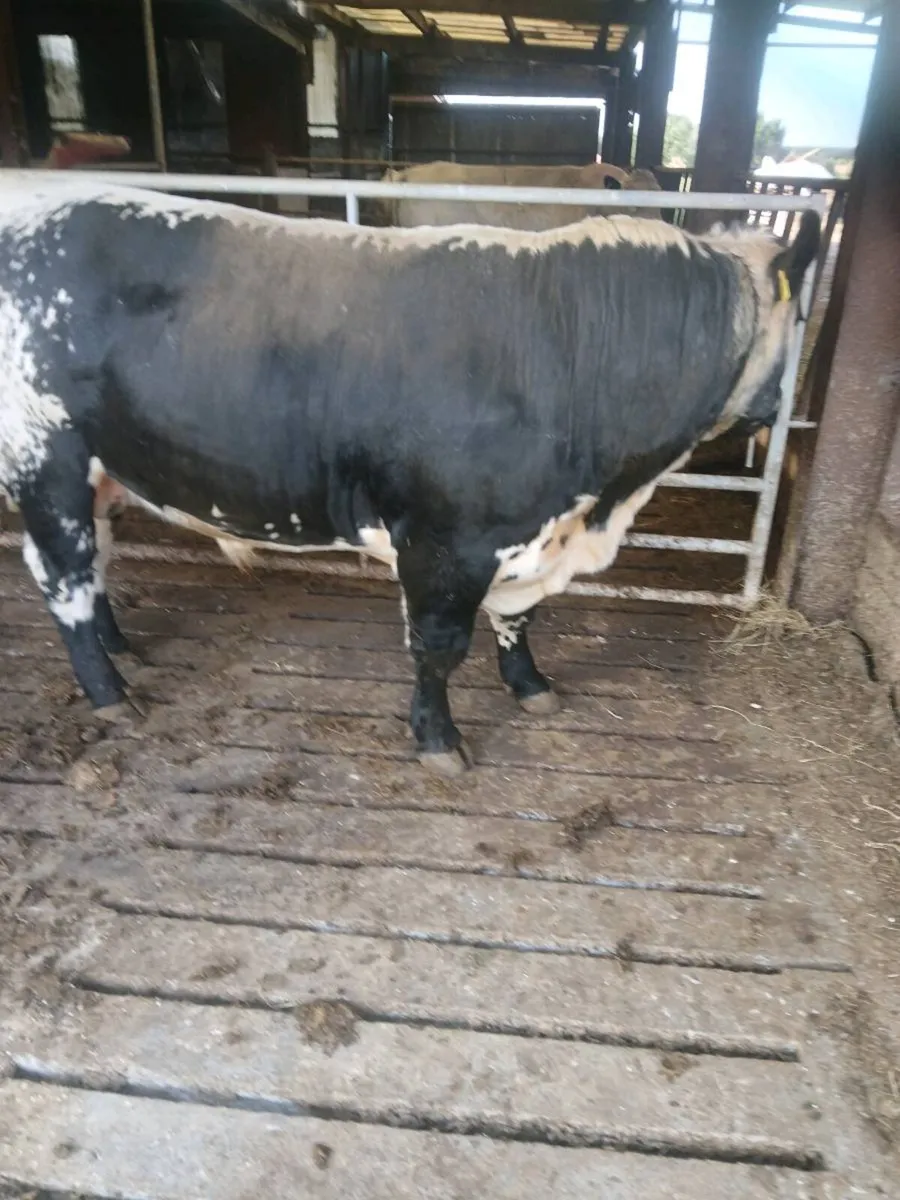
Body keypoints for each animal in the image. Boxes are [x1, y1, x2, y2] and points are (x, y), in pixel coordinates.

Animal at [0, 178, 819, 774]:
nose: (782, 411)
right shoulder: (446, 540)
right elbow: (438, 645)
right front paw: (437, 739)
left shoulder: (525, 533)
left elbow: (519, 616)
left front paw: (530, 686)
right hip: (45, 460)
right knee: (65, 575)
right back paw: (110, 692)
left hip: (102, 469)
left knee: (97, 563)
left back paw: (121, 648)